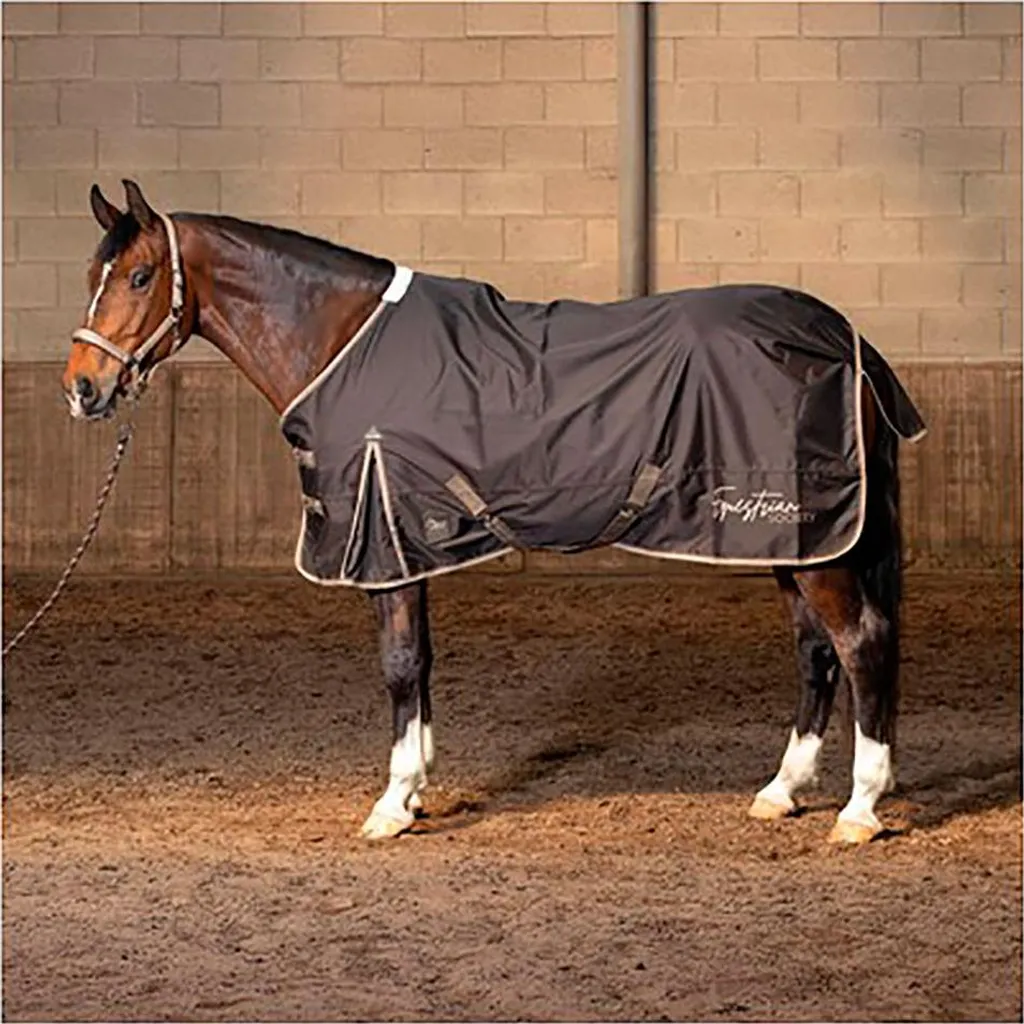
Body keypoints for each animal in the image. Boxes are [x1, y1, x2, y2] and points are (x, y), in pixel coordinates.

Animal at [61, 179, 926, 845]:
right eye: (93, 273)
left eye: (140, 276)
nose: (82, 389)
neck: (343, 342)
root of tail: (845, 338)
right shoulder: (409, 541)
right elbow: (421, 666)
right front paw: (414, 791)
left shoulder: (386, 542)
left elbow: (400, 666)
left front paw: (390, 805)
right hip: (791, 537)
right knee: (815, 653)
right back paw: (782, 792)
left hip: (813, 542)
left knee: (860, 642)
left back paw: (858, 810)